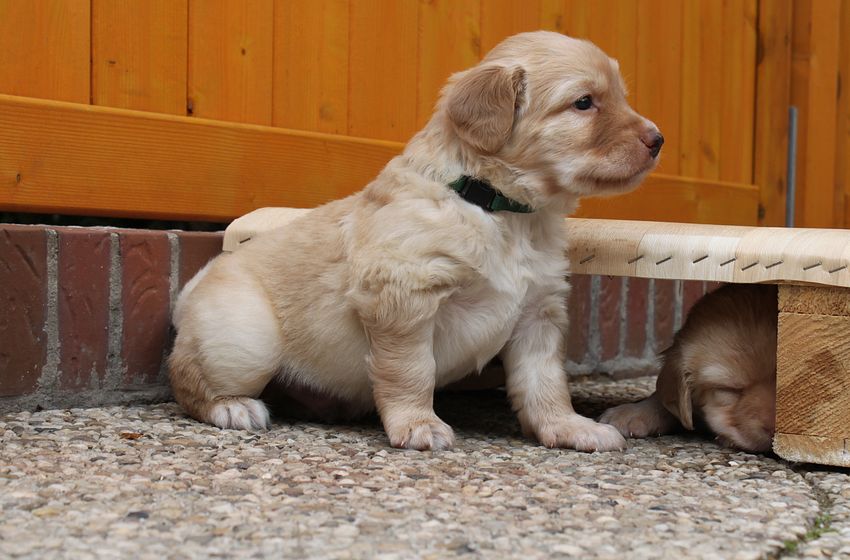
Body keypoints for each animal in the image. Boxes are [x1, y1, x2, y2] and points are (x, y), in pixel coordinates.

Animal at [168, 31, 663, 451]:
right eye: (584, 103)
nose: (658, 139)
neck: (499, 210)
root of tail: (189, 292)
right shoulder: (404, 296)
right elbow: (411, 371)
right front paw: (418, 424)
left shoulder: (538, 311)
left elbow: (545, 382)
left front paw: (568, 427)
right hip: (246, 340)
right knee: (186, 379)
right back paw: (231, 407)